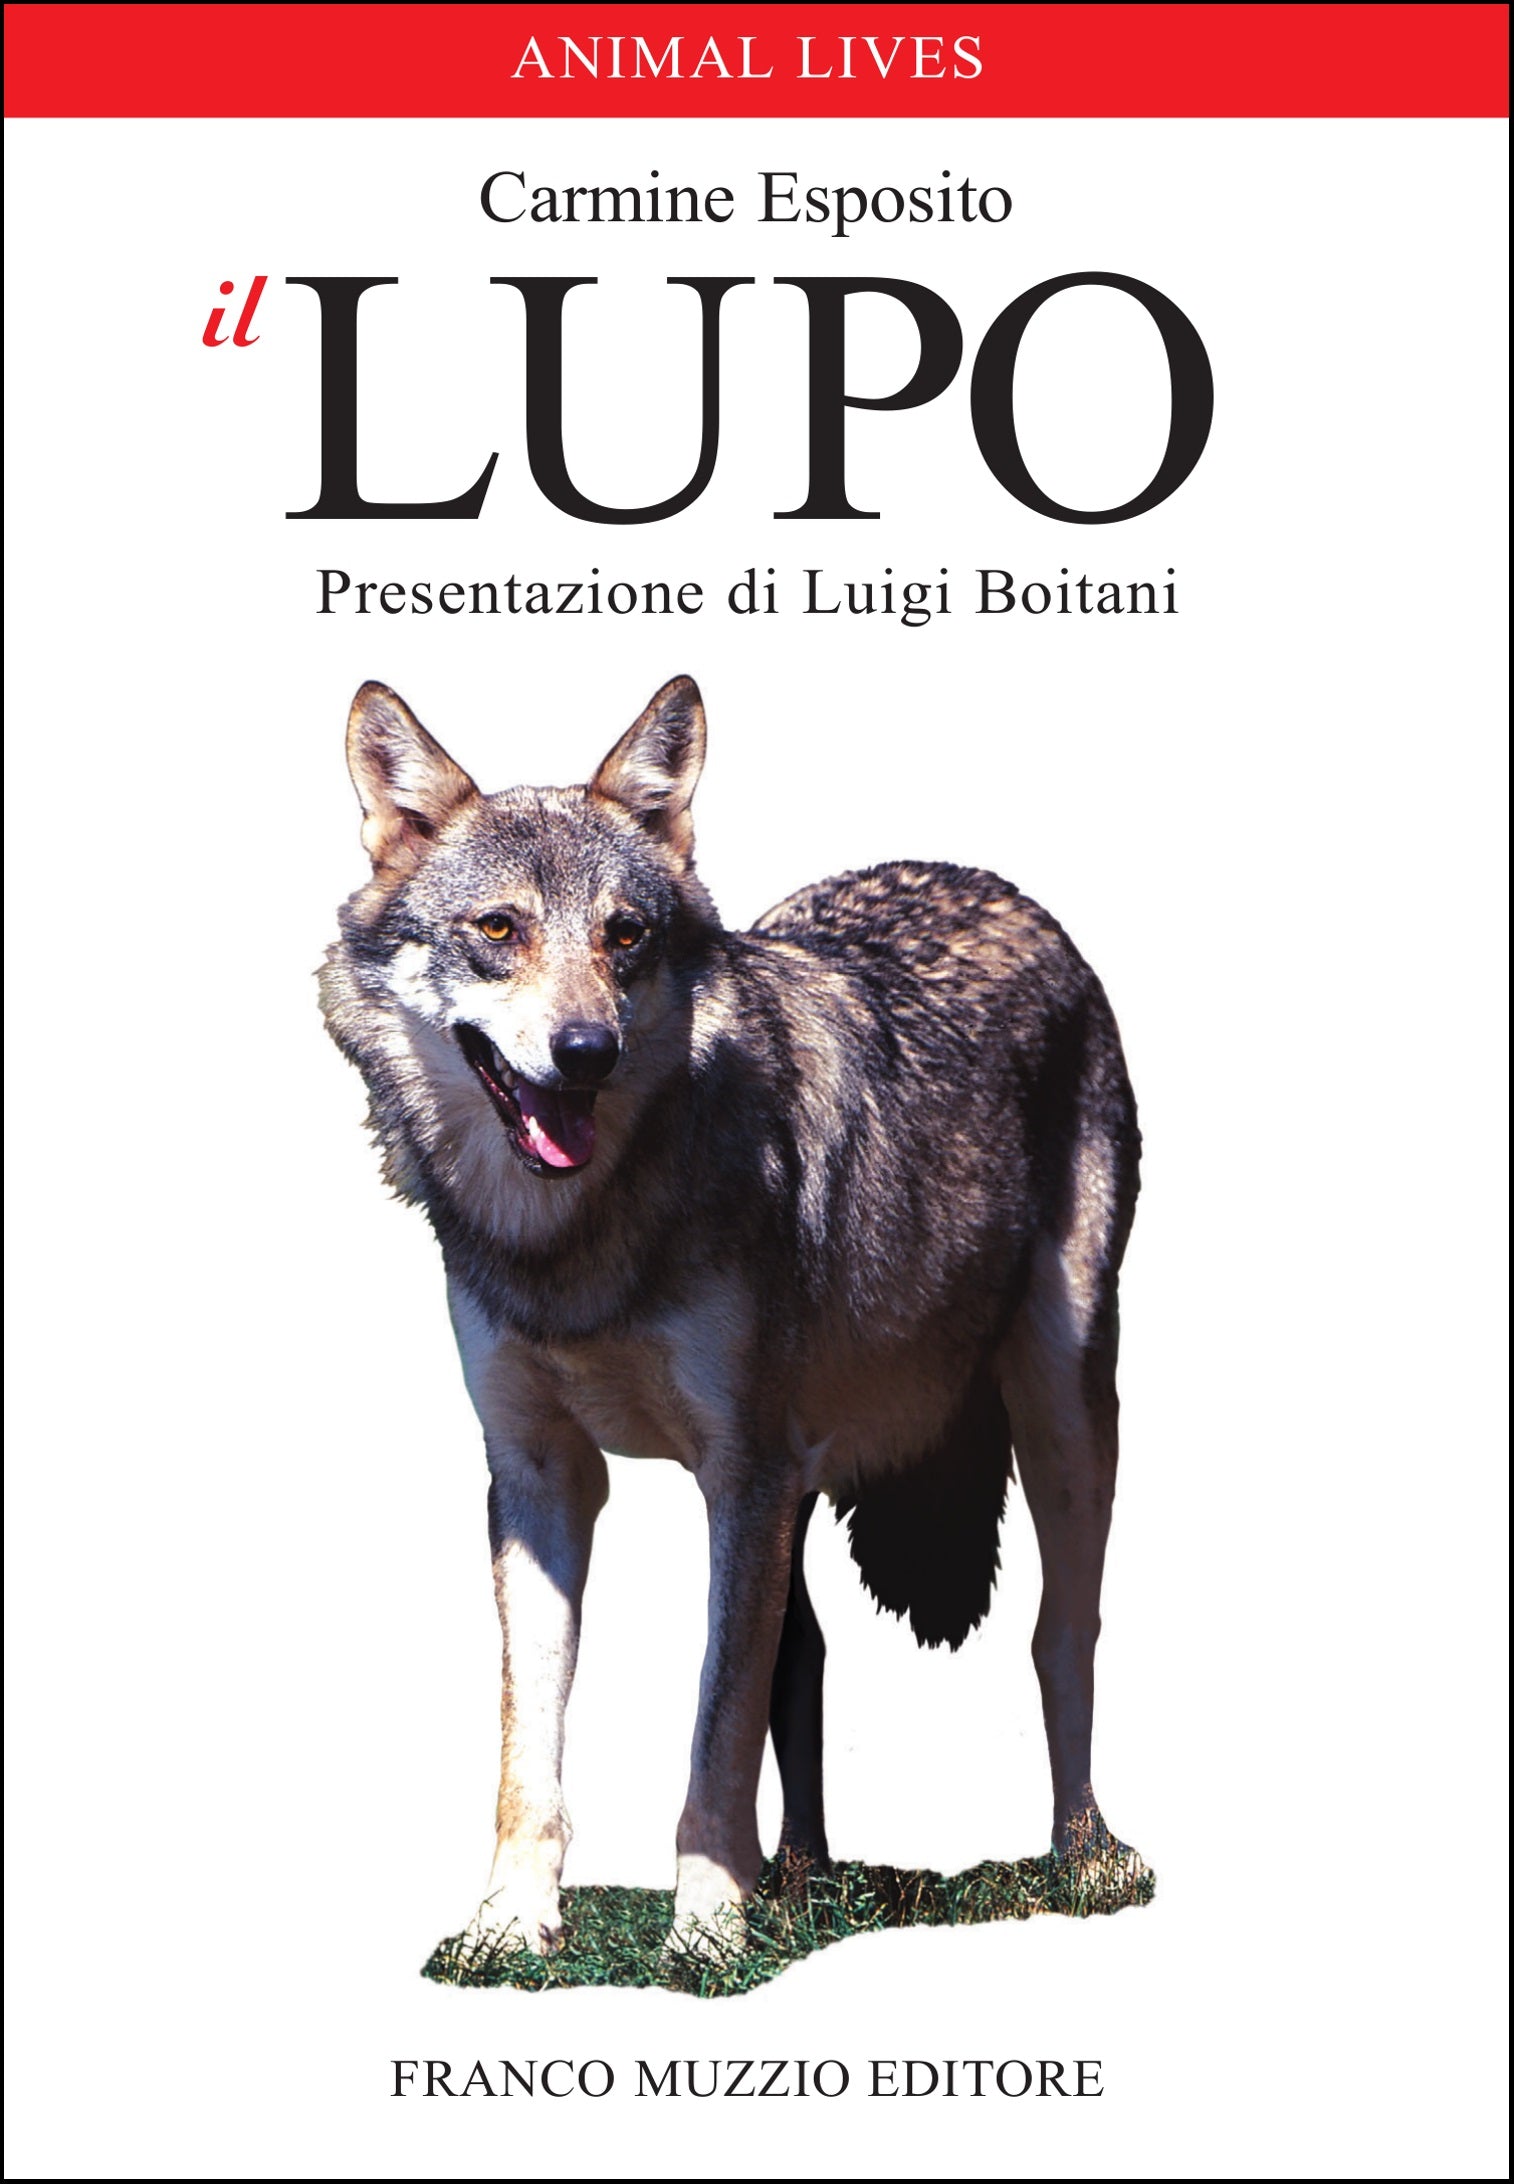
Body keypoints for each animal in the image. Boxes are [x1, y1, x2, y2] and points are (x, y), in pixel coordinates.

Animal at [321, 674, 1142, 1955]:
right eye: (499, 931)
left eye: (626, 936)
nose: (586, 1051)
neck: (574, 1244)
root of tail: (989, 882)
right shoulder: (542, 1474)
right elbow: (530, 1741)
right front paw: (511, 1922)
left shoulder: (738, 1469)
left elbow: (713, 1732)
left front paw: (704, 1927)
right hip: (806, 1486)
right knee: (800, 1657)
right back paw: (799, 1882)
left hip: (1057, 1415)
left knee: (1061, 1636)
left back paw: (1084, 1859)